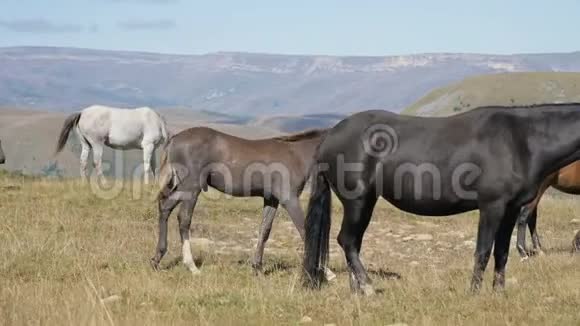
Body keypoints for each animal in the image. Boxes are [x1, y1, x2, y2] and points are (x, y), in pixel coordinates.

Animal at [152, 126, 336, 278]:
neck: (295, 155)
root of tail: (174, 139)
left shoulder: (271, 199)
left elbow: (264, 230)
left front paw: (257, 268)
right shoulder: (289, 199)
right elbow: (305, 230)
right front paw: (327, 272)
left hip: (184, 188)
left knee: (165, 207)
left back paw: (156, 259)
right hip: (191, 188)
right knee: (183, 218)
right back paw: (191, 266)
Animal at [302, 103, 580, 294]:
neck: (520, 140)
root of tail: (330, 136)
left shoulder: (511, 209)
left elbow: (502, 252)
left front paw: (498, 293)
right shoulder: (492, 207)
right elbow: (483, 251)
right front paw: (474, 293)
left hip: (365, 202)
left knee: (353, 243)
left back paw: (357, 289)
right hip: (358, 201)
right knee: (347, 241)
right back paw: (368, 288)